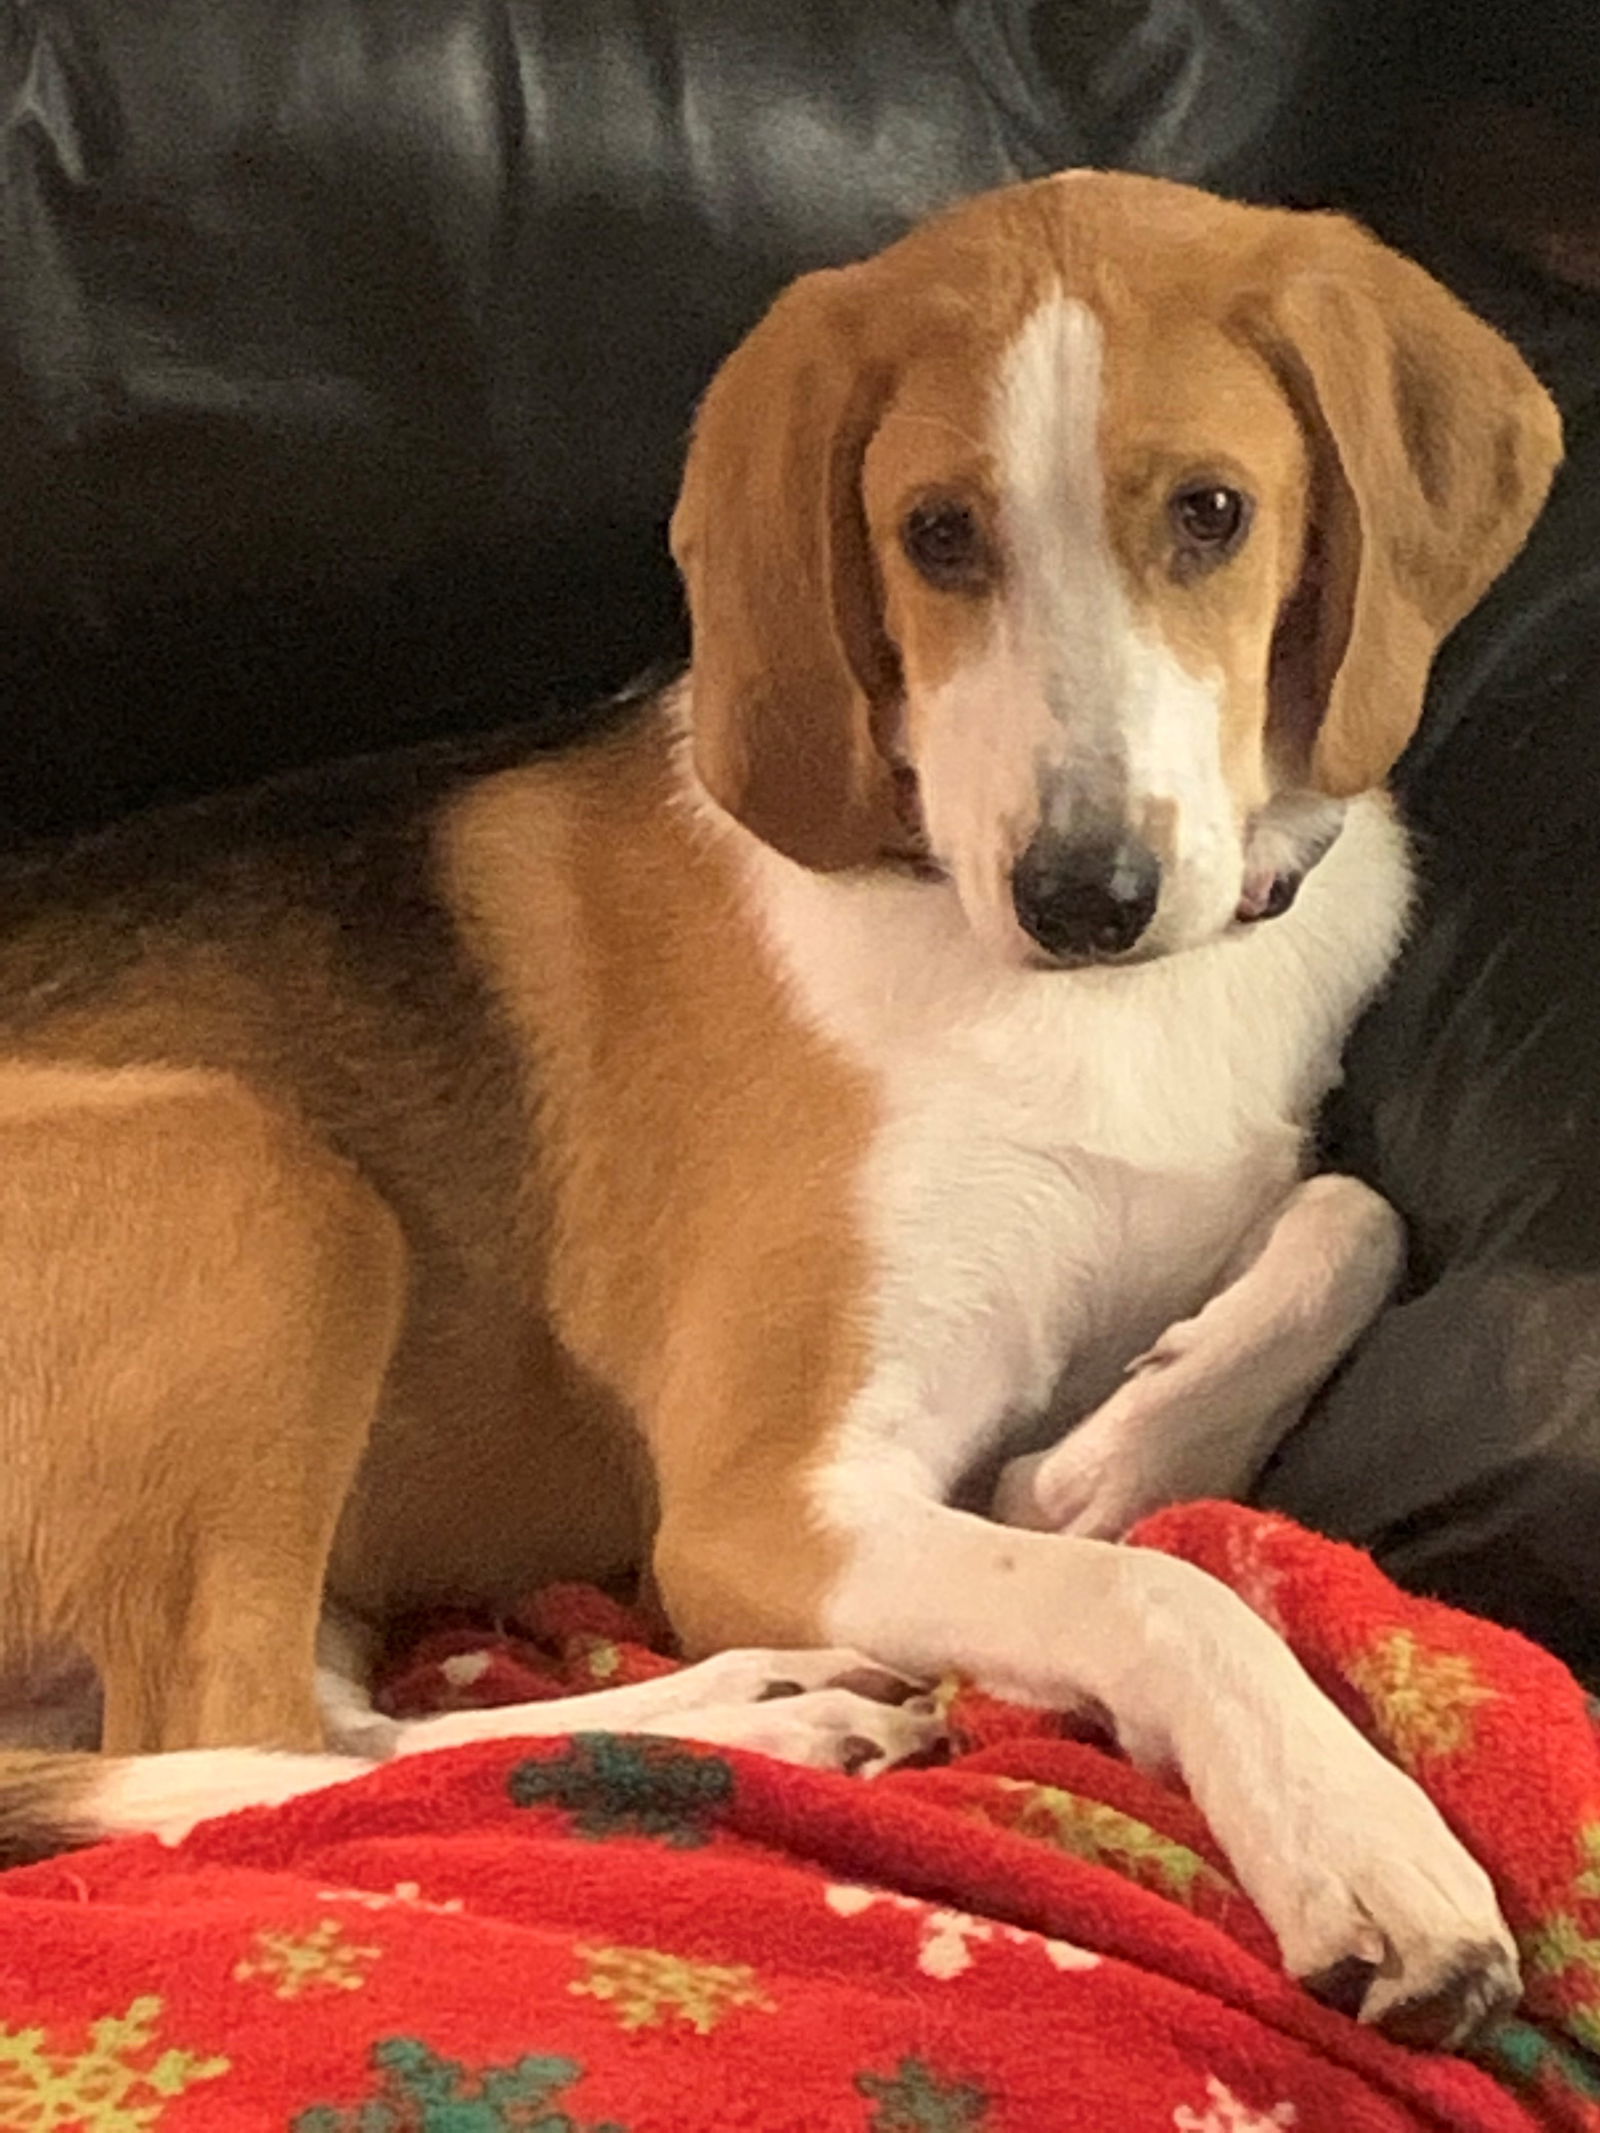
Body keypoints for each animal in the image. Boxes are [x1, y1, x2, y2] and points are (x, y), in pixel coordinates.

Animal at [0, 170, 1570, 2047]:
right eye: (938, 534)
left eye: (1213, 512)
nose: (1083, 896)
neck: (1089, 996)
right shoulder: (773, 1505)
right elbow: (1160, 1585)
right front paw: (1350, 1831)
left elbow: (1352, 1215)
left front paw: (1100, 1460)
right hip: (255, 1178)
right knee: (233, 1736)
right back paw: (778, 1711)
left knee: (333, 1725)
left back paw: (776, 1707)